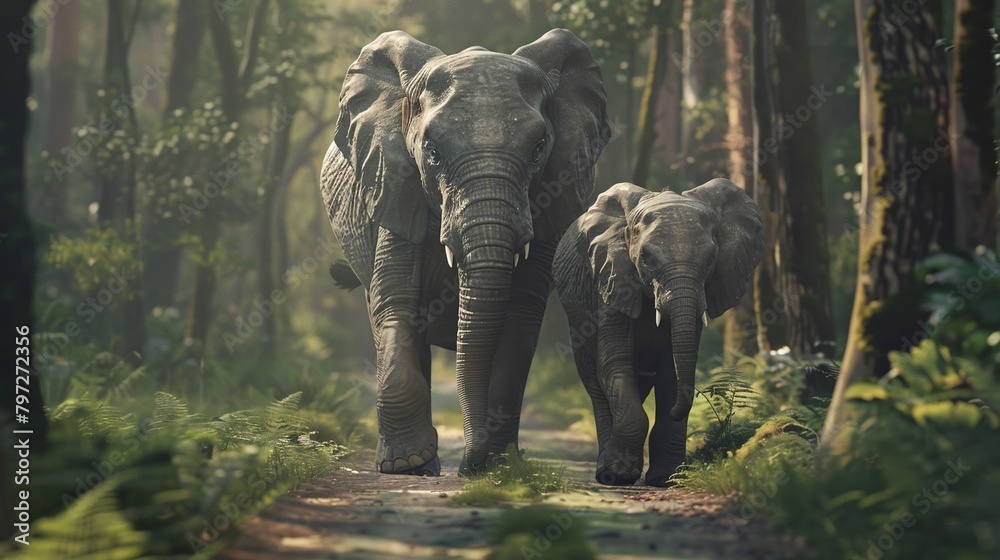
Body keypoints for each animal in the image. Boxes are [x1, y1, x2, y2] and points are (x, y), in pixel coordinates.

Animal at [320, 29, 610, 476]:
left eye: (538, 149)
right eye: (432, 152)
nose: (468, 469)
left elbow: (520, 320)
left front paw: (499, 464)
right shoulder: (394, 185)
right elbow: (395, 305)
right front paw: (406, 465)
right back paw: (423, 464)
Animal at [553, 179, 763, 486]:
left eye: (712, 258)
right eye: (645, 258)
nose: (679, 411)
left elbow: (671, 372)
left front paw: (667, 478)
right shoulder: (612, 282)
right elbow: (614, 364)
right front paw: (620, 476)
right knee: (595, 385)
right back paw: (607, 473)